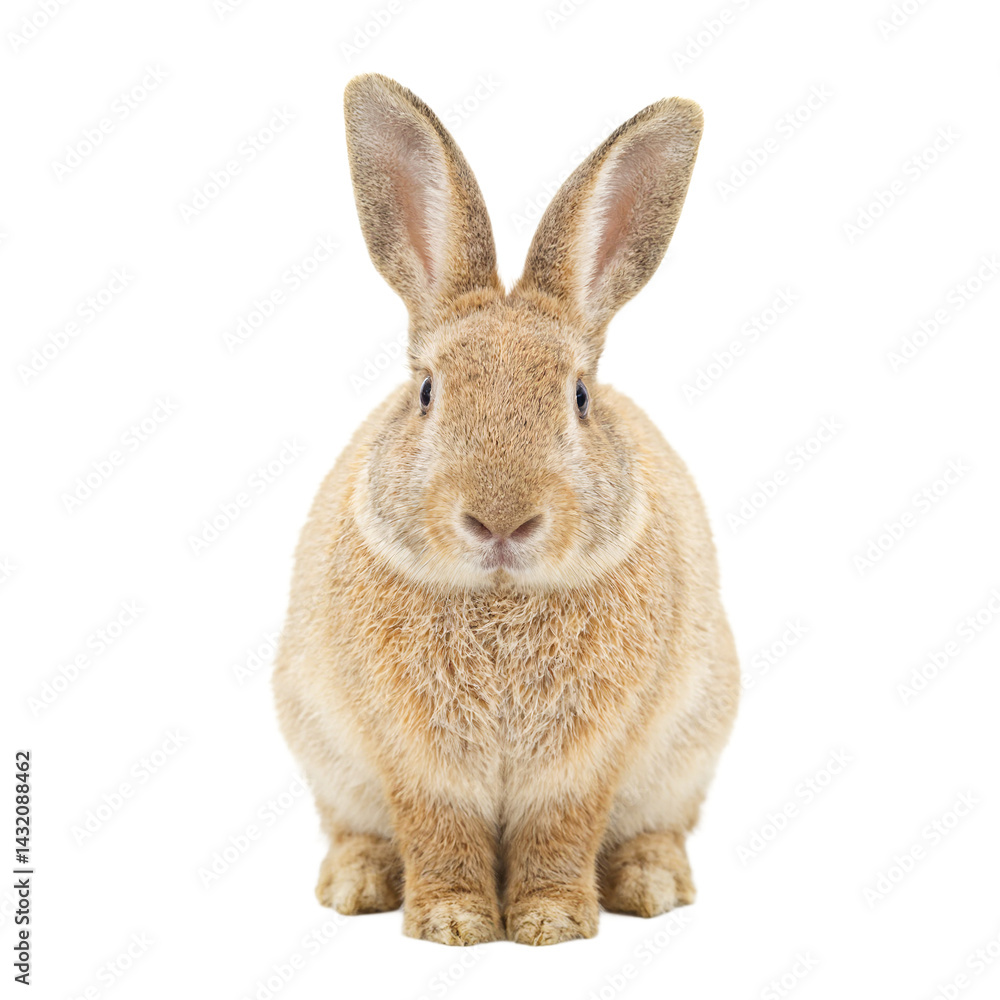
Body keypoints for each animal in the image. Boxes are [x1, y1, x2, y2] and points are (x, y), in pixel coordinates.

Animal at [272, 73, 739, 947]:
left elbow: (560, 834)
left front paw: (552, 923)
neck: (499, 599)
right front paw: (453, 923)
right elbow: (439, 832)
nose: (499, 521)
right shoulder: (417, 763)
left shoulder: (585, 764)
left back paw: (651, 884)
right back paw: (356, 883)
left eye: (580, 398)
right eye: (428, 391)